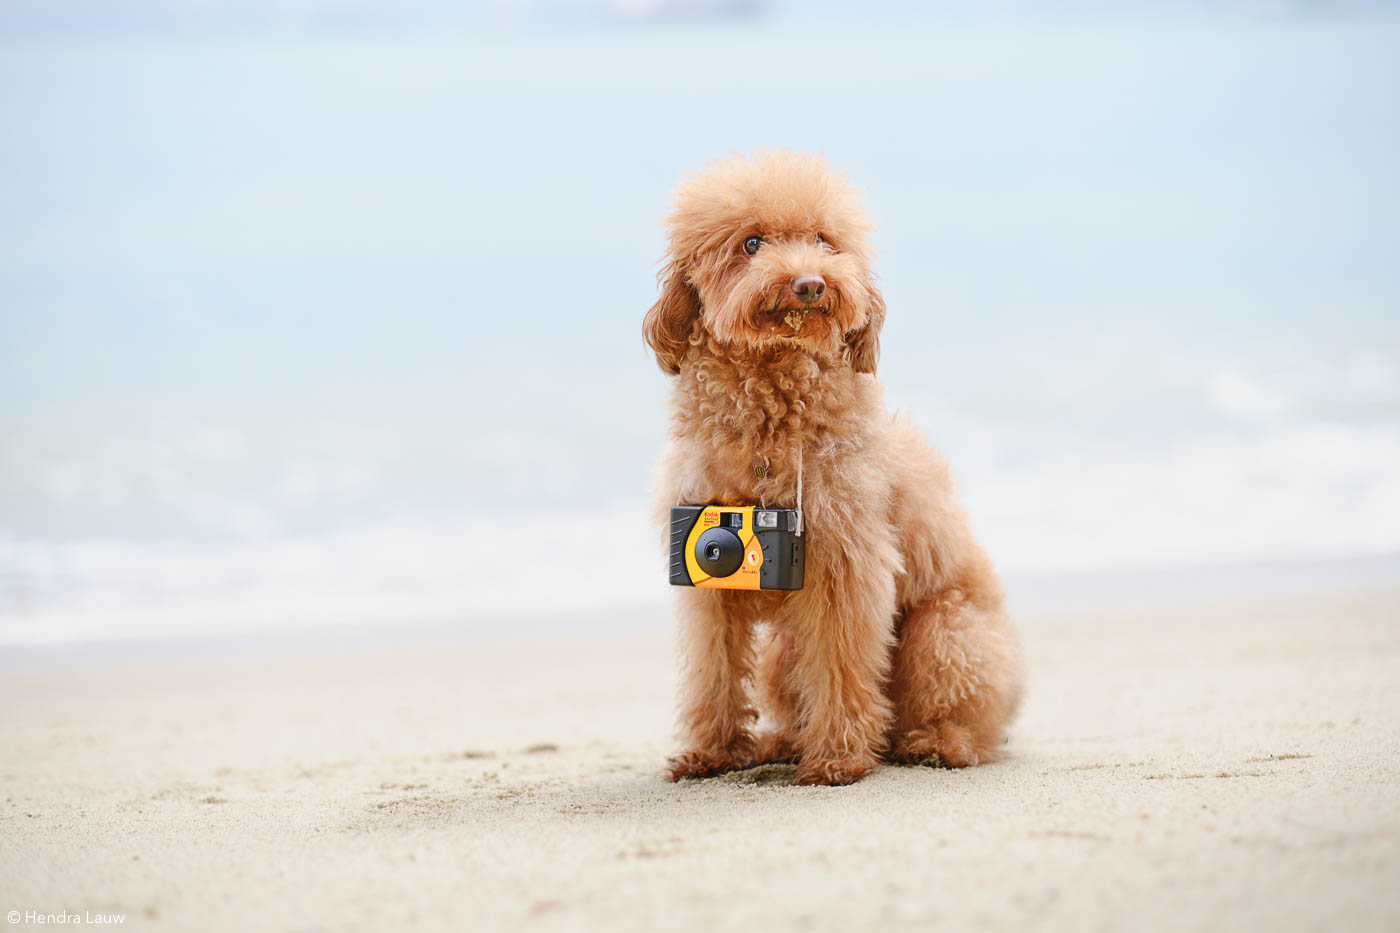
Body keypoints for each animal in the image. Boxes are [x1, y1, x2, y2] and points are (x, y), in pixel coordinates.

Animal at [641, 152, 1024, 784]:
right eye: (751, 243)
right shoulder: (702, 572)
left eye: (824, 240)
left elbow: (843, 665)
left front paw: (838, 759)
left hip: (945, 632)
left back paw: (935, 743)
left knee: (953, 705)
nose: (811, 284)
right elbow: (713, 670)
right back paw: (783, 742)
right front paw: (712, 753)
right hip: (784, 652)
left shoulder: (847, 567)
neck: (771, 405)